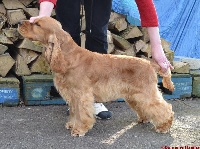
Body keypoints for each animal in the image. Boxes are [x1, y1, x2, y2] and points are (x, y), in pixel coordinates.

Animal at [19, 16, 175, 137]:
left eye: (37, 24)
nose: (20, 22)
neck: (68, 57)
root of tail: (150, 64)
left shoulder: (82, 95)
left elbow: (82, 114)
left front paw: (79, 130)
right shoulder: (72, 95)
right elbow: (74, 112)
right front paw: (71, 124)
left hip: (146, 93)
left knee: (164, 108)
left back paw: (164, 126)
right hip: (134, 95)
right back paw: (145, 119)